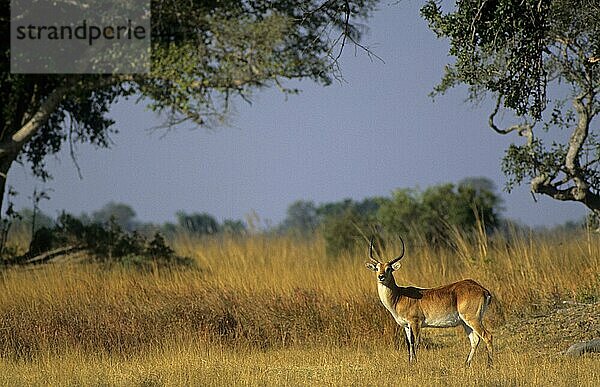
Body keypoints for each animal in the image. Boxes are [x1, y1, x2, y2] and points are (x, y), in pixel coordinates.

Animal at [366, 236, 492, 366]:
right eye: (377, 268)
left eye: (389, 269)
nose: (381, 276)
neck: (399, 296)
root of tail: (482, 289)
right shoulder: (406, 326)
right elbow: (409, 344)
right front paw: (410, 363)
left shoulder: (415, 323)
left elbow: (415, 343)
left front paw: (415, 363)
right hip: (465, 322)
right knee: (475, 340)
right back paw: (466, 364)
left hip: (472, 319)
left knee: (487, 336)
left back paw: (489, 364)